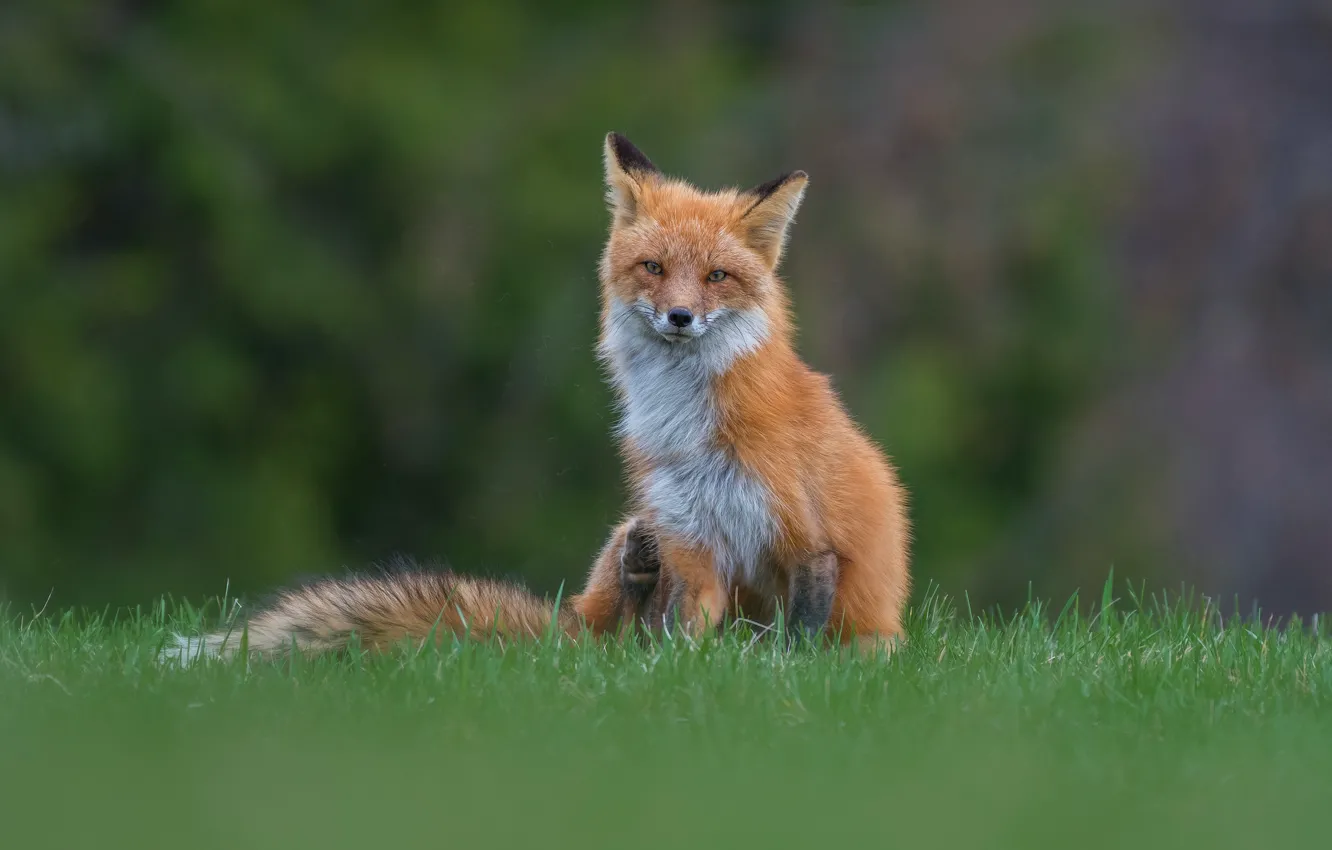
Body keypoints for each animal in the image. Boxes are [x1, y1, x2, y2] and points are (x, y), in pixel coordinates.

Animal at [162, 132, 909, 664]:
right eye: (654, 268)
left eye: (717, 277)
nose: (679, 318)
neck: (685, 424)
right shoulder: (692, 541)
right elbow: (674, 646)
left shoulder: (806, 540)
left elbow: (798, 643)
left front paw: (789, 672)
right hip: (635, 532)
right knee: (607, 636)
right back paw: (632, 584)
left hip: (867, 632)